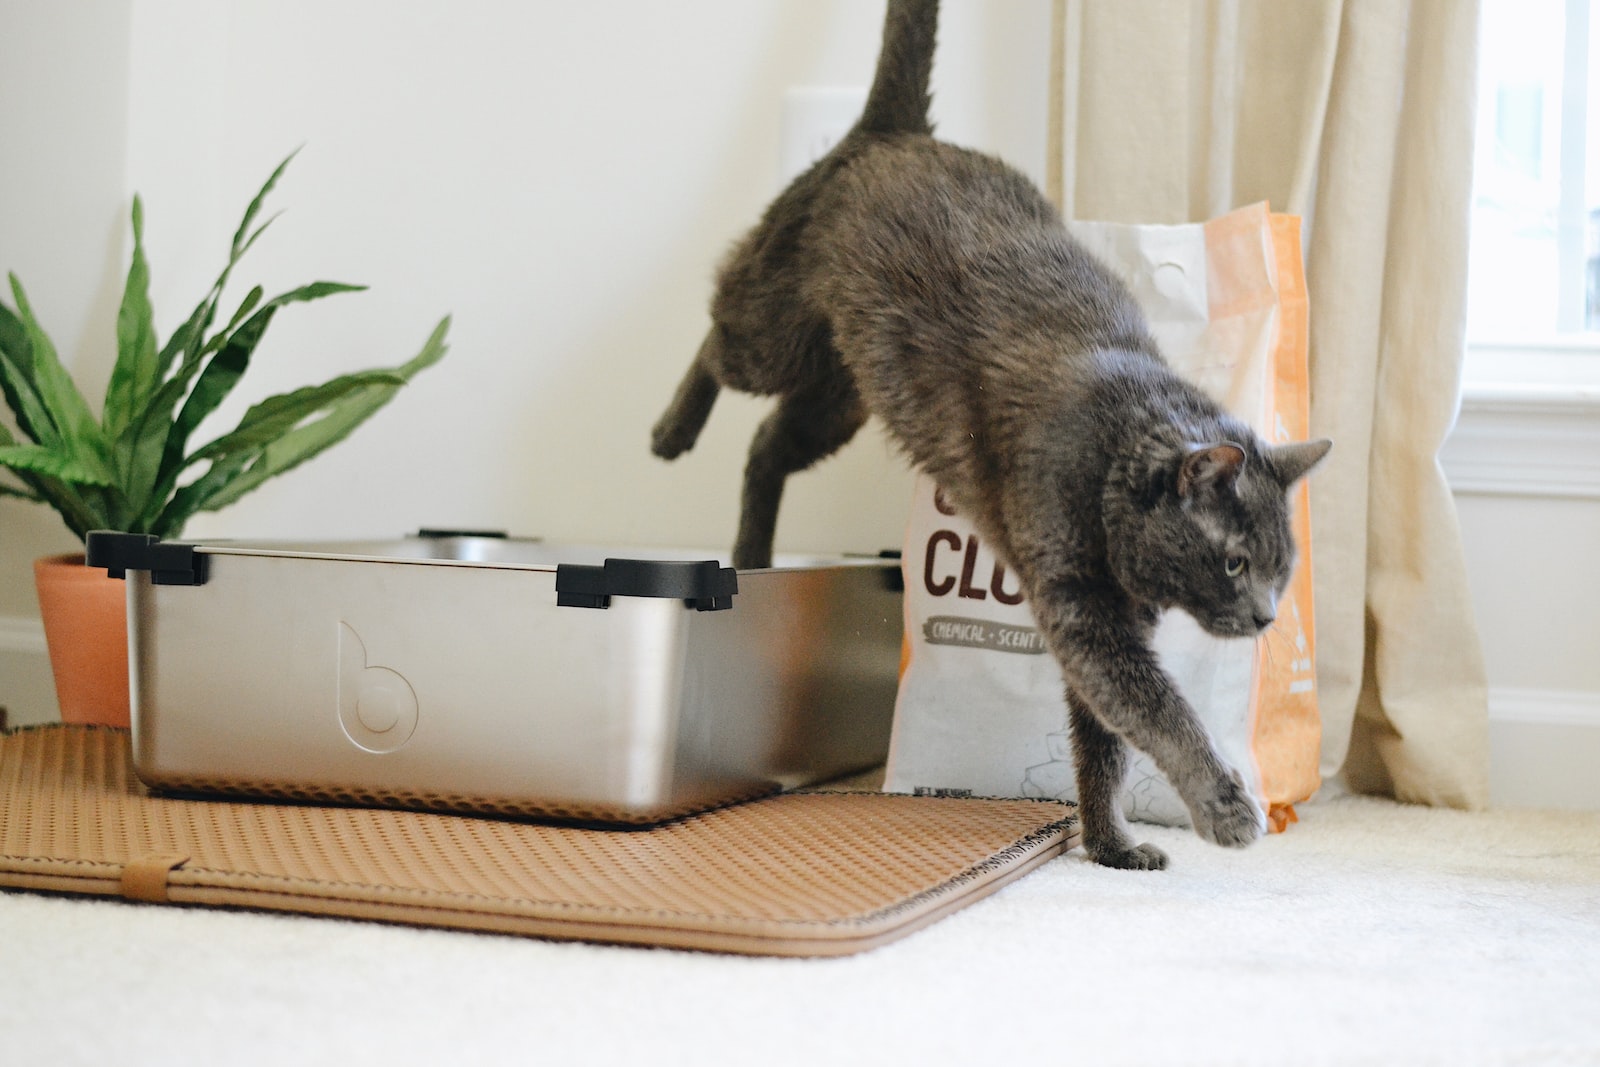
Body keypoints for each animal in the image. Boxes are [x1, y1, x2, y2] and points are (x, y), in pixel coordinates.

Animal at [646, 0, 1324, 870]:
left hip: (843, 395)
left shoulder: (1104, 627)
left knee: (766, 444)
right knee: (716, 337)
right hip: (775, 331)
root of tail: (895, 131)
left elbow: (1101, 744)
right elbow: (1160, 711)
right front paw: (1223, 806)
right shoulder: (1086, 614)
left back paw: (753, 551)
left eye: (1282, 569)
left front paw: (1110, 844)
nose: (1269, 617)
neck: (1113, 457)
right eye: (1235, 561)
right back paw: (670, 431)